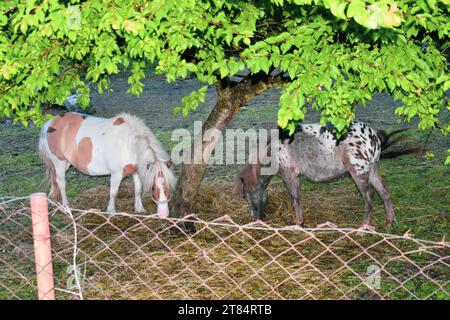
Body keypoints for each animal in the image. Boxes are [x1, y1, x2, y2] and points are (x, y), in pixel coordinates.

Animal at [39, 112, 176, 218]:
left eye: (168, 186)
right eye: (153, 187)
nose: (164, 214)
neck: (129, 143)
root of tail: (49, 123)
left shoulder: (137, 170)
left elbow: (138, 190)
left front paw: (139, 209)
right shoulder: (117, 174)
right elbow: (113, 192)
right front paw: (111, 211)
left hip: (65, 163)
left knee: (55, 182)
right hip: (59, 162)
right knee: (61, 183)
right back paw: (67, 208)